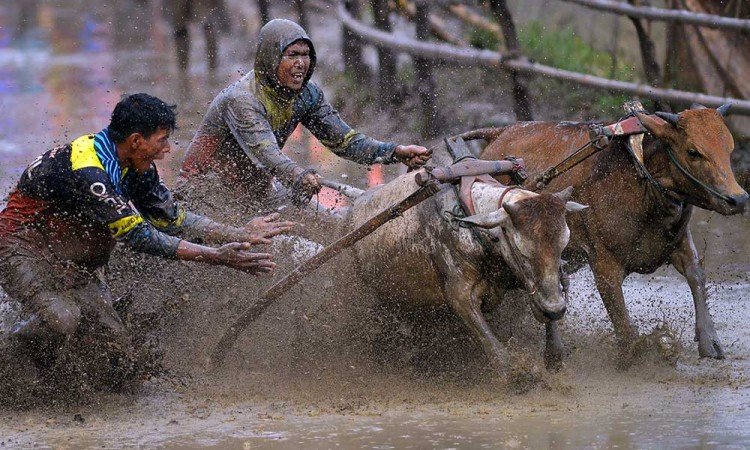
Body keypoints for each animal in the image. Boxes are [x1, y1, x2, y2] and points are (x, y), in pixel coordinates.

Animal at [468, 106, 748, 366]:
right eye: (693, 151)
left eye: (729, 148)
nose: (738, 199)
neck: (640, 180)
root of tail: (499, 133)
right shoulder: (603, 264)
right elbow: (622, 322)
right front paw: (641, 351)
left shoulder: (678, 243)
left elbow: (696, 275)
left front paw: (709, 341)